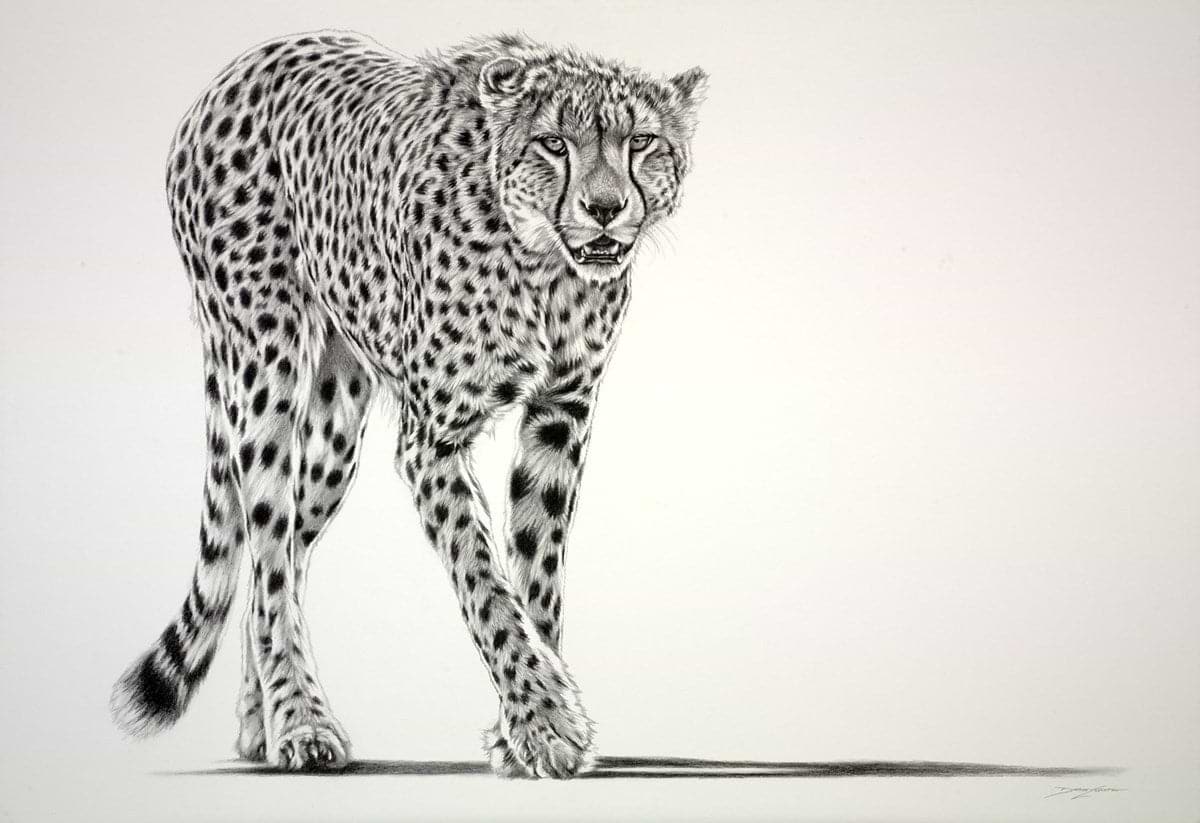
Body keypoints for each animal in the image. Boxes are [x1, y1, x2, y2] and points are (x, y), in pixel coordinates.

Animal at [110, 30, 706, 779]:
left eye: (643, 142)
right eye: (553, 143)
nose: (605, 208)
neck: (542, 267)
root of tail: (248, 61)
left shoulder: (561, 411)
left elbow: (537, 572)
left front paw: (520, 730)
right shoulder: (433, 443)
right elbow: (485, 580)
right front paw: (544, 722)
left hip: (336, 427)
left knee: (283, 551)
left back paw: (259, 721)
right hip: (263, 365)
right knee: (269, 546)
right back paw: (300, 721)